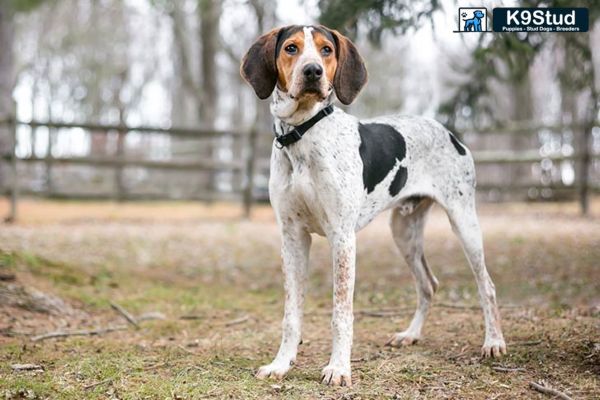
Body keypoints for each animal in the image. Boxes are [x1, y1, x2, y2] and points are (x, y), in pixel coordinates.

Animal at [239, 25, 506, 388]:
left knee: (486, 286)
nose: (313, 72)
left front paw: (338, 368)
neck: (303, 134)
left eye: (326, 50)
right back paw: (411, 334)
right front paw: (281, 364)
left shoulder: (342, 238)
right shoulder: (292, 237)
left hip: (464, 223)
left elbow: (341, 313)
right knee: (428, 284)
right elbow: (291, 314)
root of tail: (448, 132)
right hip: (404, 232)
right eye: (291, 48)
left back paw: (493, 342)